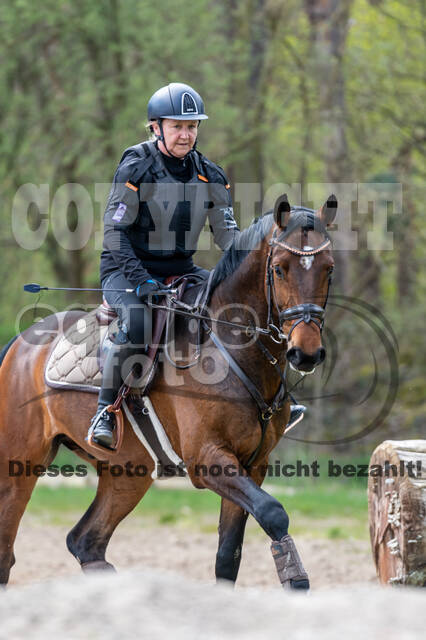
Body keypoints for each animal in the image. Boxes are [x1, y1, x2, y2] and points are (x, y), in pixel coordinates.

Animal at [0, 194, 338, 592]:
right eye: (280, 269)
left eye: (329, 269)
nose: (306, 353)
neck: (229, 347)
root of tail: (20, 343)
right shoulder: (207, 459)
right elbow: (272, 512)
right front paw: (295, 576)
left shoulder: (253, 465)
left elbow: (228, 555)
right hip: (20, 466)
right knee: (7, 552)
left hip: (128, 473)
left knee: (85, 541)